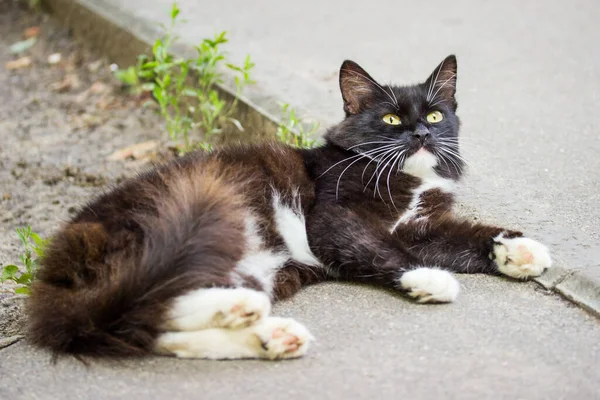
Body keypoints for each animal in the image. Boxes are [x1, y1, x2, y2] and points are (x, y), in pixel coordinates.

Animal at [28, 55, 552, 360]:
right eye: (390, 119)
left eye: (437, 115)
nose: (422, 134)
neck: (409, 178)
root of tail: (54, 271)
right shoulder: (334, 216)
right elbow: (384, 250)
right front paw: (428, 279)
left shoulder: (420, 226)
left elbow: (460, 236)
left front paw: (519, 250)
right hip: (198, 218)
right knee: (140, 306)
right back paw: (245, 315)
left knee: (149, 320)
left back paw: (261, 330)